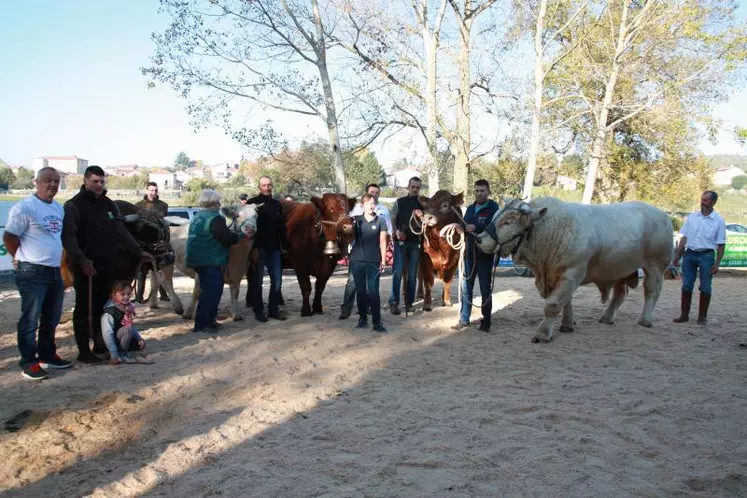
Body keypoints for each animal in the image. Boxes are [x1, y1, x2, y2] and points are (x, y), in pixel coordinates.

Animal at [476, 196, 676, 344]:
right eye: (495, 216)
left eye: (508, 221)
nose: (478, 239)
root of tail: (663, 215)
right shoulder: (558, 274)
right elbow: (566, 302)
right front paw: (566, 325)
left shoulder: (572, 272)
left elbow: (554, 304)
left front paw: (543, 334)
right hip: (621, 268)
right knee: (620, 294)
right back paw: (607, 317)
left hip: (656, 265)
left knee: (652, 290)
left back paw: (645, 320)